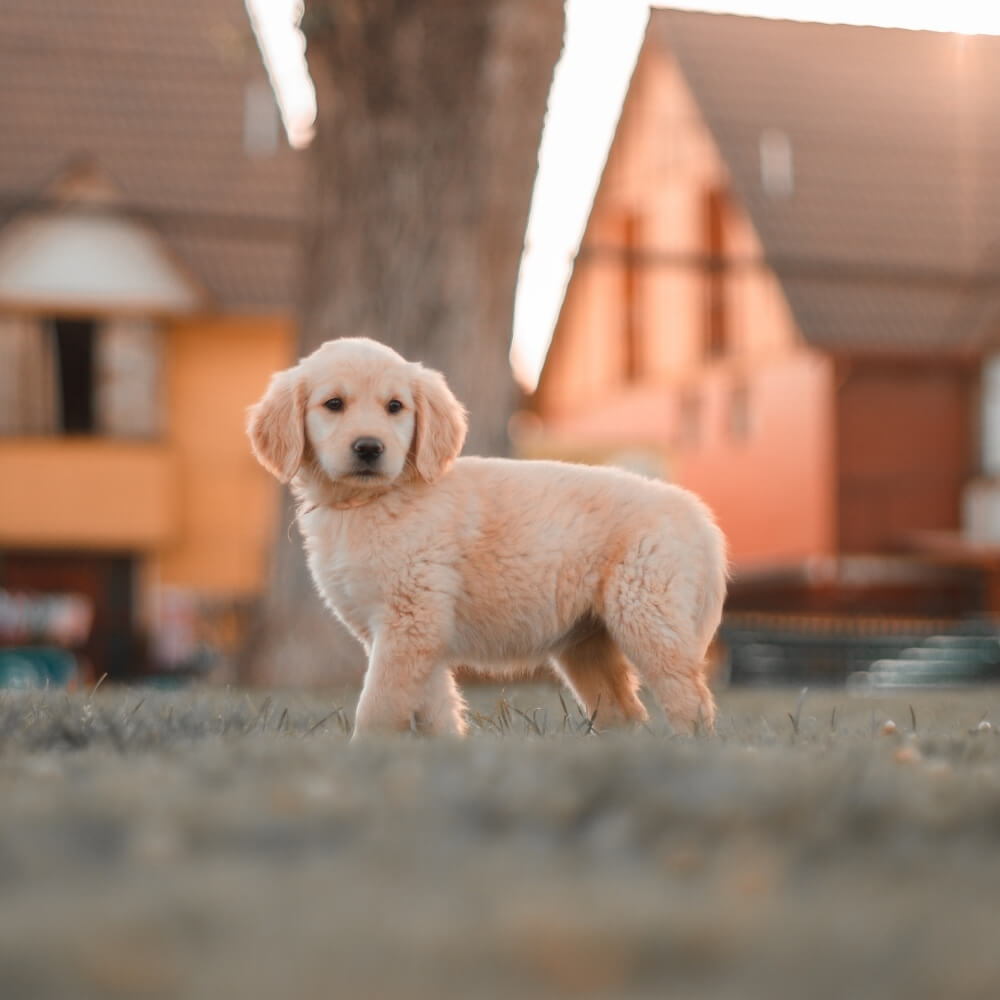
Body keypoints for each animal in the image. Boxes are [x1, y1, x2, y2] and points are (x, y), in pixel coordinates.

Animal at [246, 340, 724, 740]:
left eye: (395, 406)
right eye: (334, 404)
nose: (369, 447)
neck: (373, 502)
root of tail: (695, 513)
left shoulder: (410, 621)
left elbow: (379, 703)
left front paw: (365, 752)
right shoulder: (412, 633)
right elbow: (434, 706)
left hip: (647, 616)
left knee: (691, 700)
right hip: (587, 643)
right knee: (626, 713)